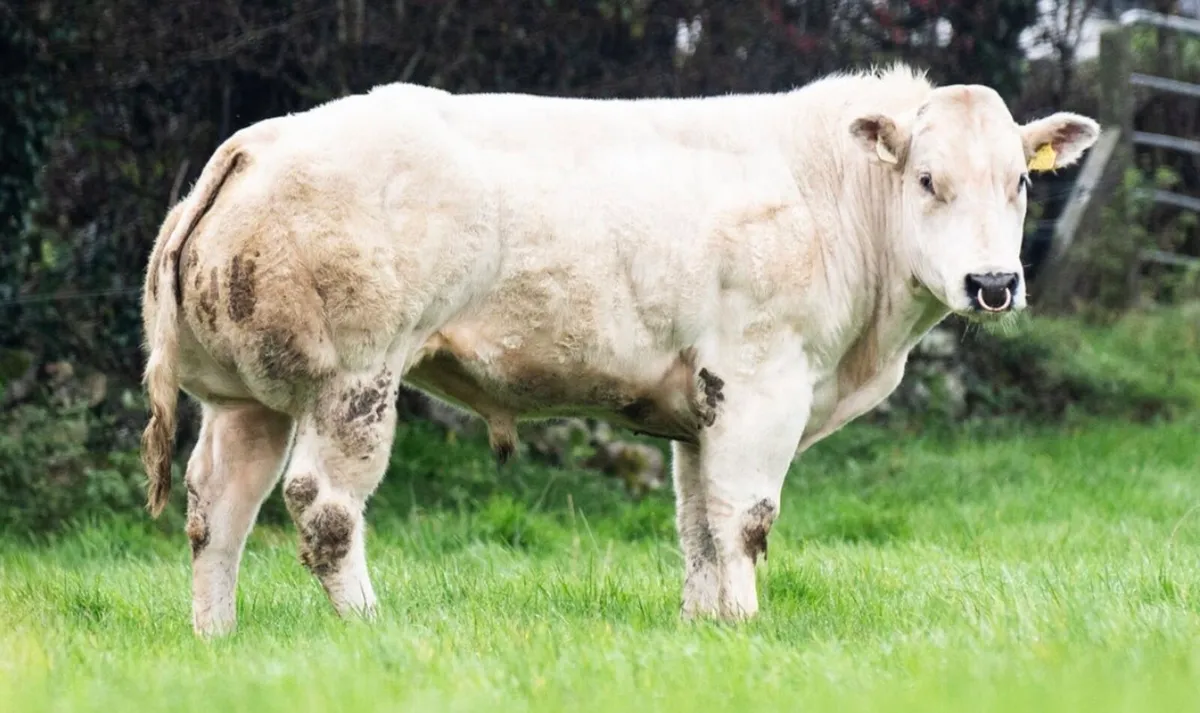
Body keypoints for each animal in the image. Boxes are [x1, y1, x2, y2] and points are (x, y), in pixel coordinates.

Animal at [139, 63, 1100, 637]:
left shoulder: (700, 404)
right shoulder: (762, 379)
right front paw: (748, 624)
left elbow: (698, 524)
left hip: (247, 398)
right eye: (929, 180)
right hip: (356, 378)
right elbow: (746, 517)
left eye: (1020, 181)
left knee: (216, 507)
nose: (992, 283)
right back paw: (366, 624)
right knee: (323, 505)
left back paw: (216, 634)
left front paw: (707, 625)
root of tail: (259, 138)